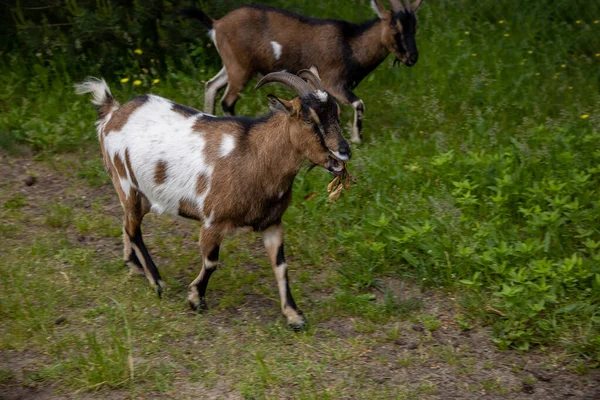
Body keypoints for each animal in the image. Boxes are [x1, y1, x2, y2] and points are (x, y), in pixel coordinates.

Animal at [74, 69, 352, 330]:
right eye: (308, 119)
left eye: (337, 113)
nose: (344, 151)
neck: (254, 155)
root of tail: (113, 113)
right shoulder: (212, 220)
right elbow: (211, 261)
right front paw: (196, 299)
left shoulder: (272, 223)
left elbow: (281, 266)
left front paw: (294, 316)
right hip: (125, 182)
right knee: (133, 229)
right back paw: (157, 282)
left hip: (139, 194)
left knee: (127, 223)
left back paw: (134, 266)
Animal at [180, 0, 424, 144]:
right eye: (394, 27)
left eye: (415, 26)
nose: (412, 58)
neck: (350, 44)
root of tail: (216, 24)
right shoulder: (334, 82)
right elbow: (358, 104)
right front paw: (357, 140)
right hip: (240, 68)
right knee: (227, 100)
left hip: (231, 66)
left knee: (211, 85)